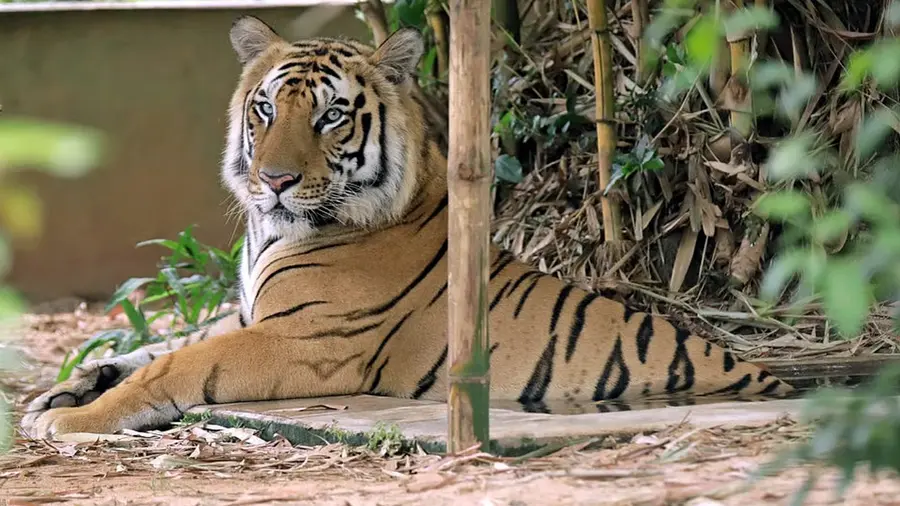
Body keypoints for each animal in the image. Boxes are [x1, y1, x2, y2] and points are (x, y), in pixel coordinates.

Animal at [21, 15, 792, 439]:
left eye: (331, 116)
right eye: (265, 109)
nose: (274, 181)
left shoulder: (304, 340)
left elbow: (178, 363)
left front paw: (70, 418)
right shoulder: (247, 315)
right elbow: (150, 347)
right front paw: (59, 391)